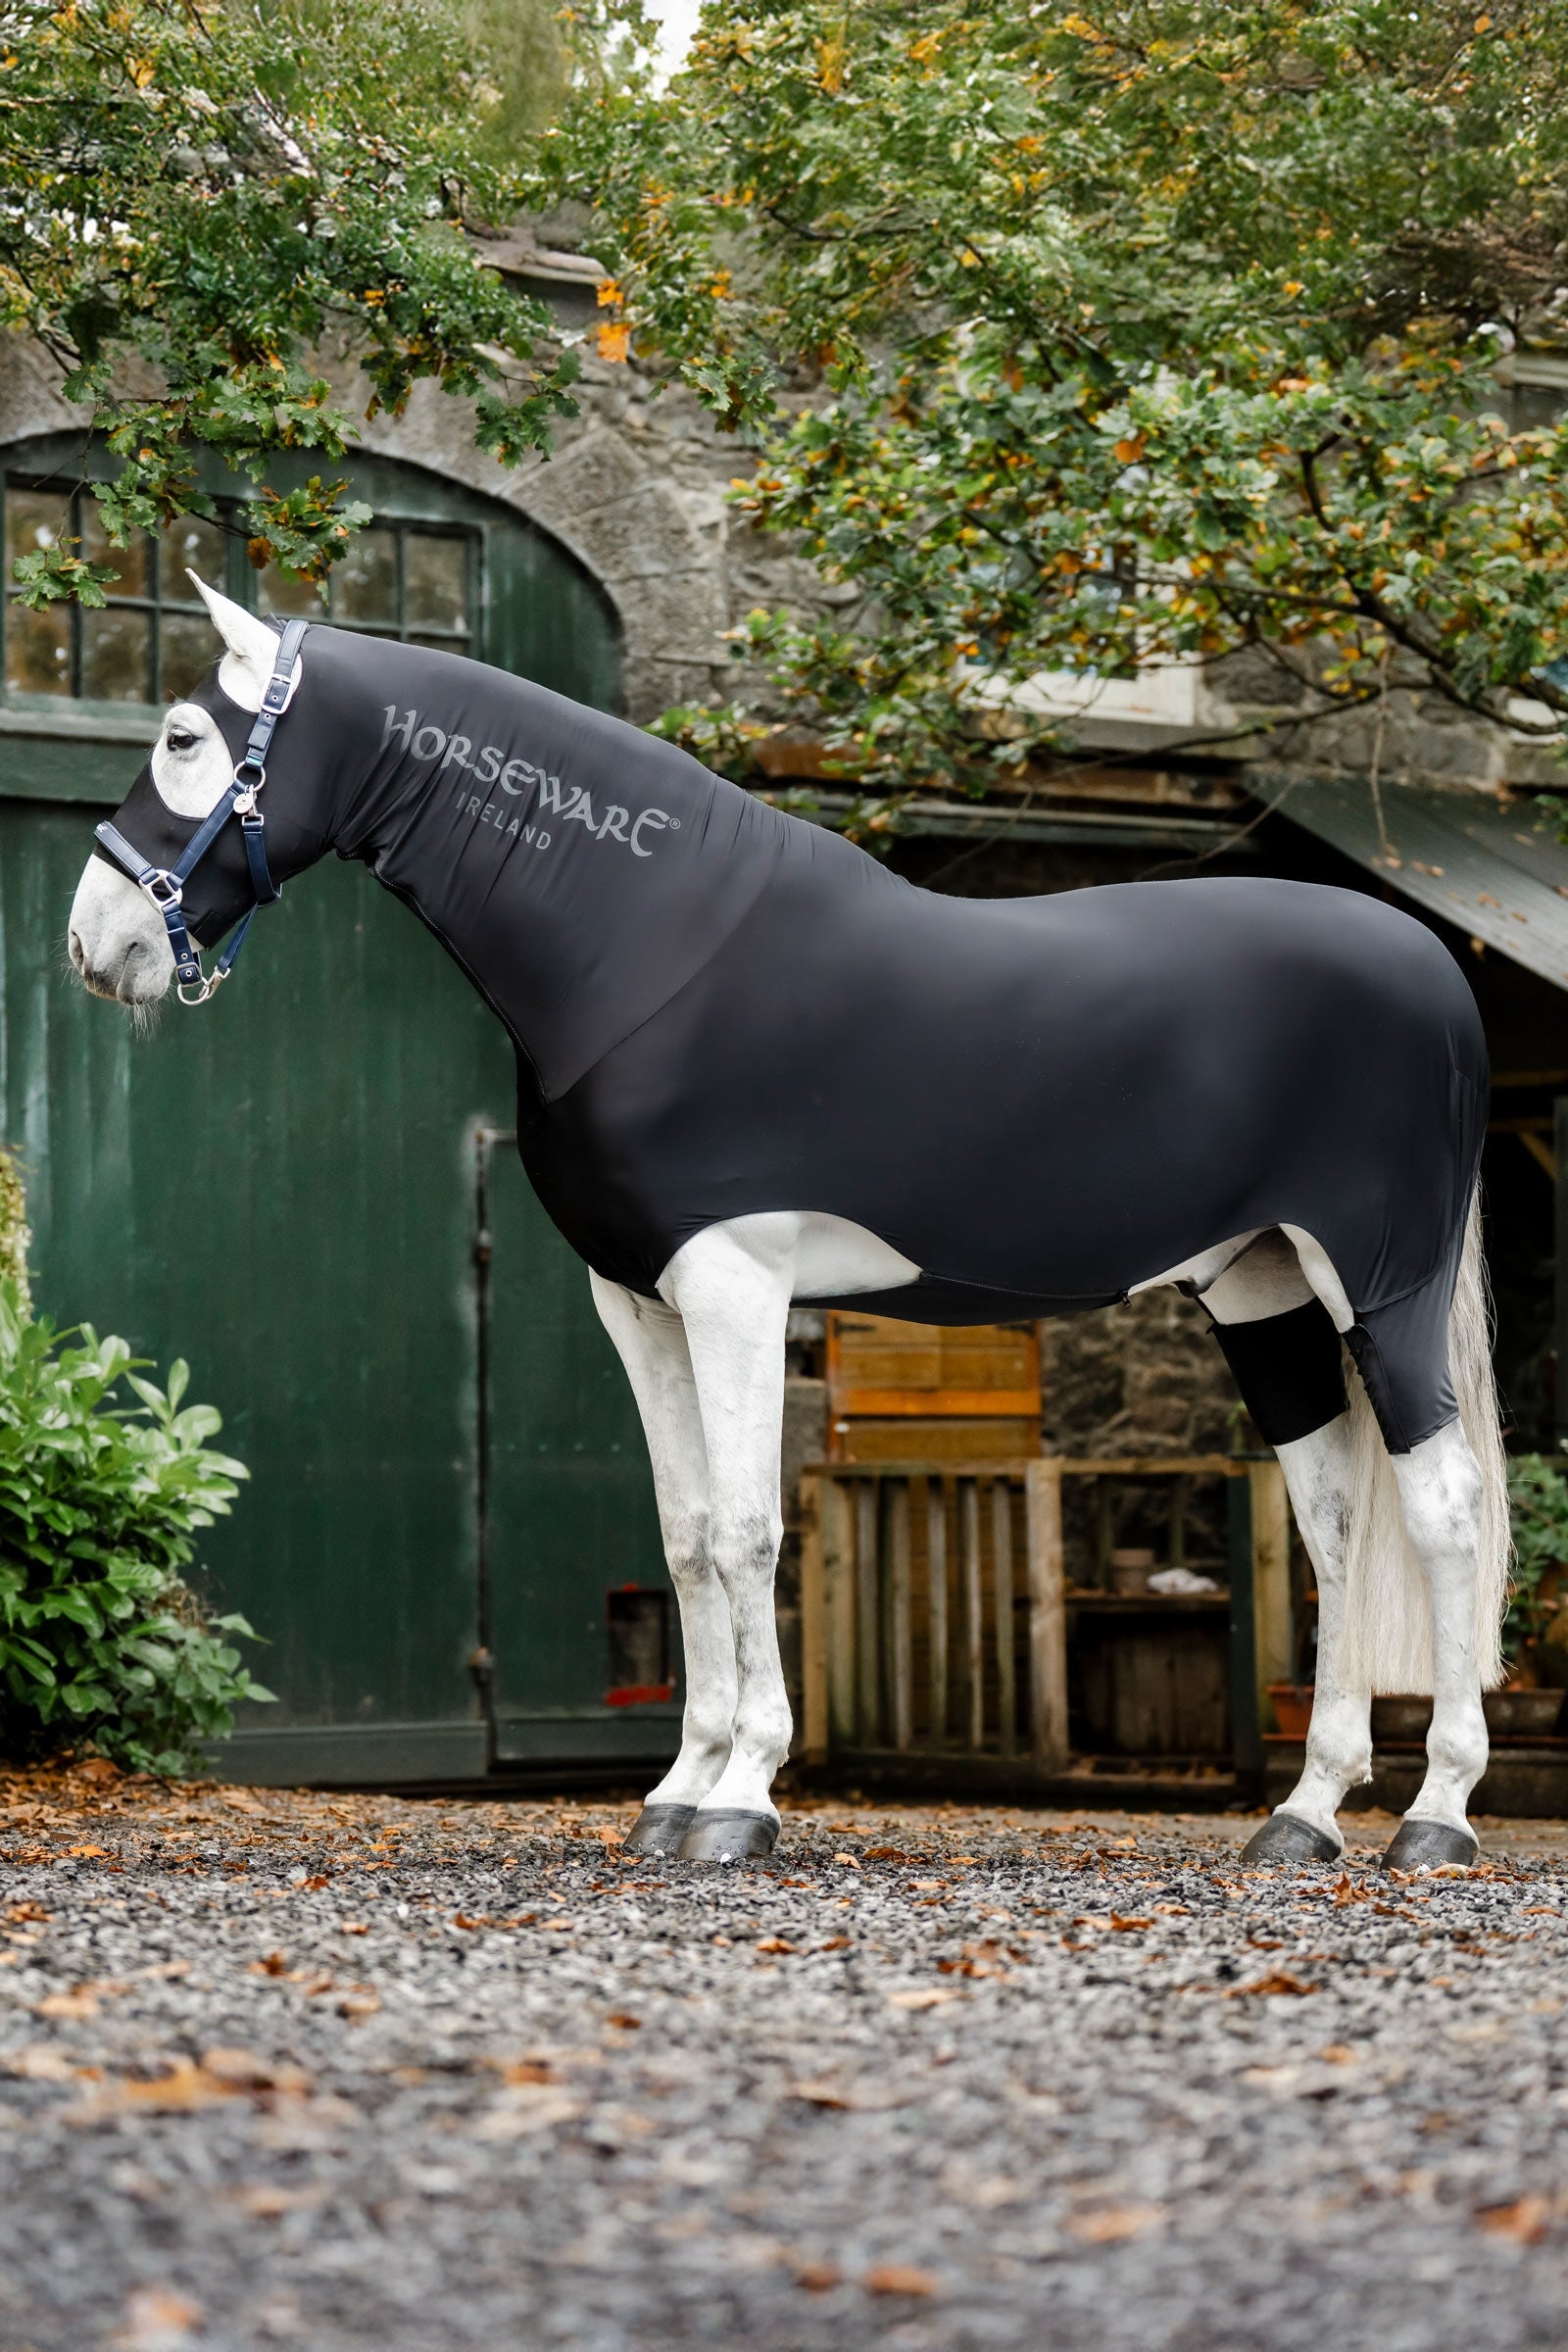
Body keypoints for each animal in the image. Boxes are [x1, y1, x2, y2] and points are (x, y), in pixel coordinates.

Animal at [66, 581, 1509, 1868]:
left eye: (185, 737)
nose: (94, 946)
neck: (648, 954)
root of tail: (1435, 972)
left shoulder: (736, 1284)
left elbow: (753, 1528)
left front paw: (743, 1799)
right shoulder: (636, 1300)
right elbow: (688, 1536)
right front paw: (673, 1793)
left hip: (1380, 1286)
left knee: (1442, 1512)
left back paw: (1434, 1819)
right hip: (1263, 1290)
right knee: (1334, 1523)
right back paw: (1304, 1818)